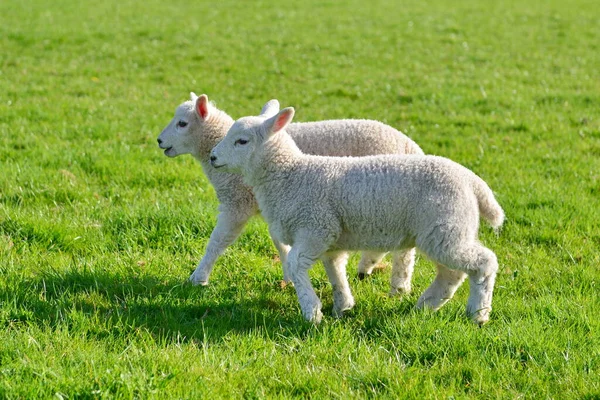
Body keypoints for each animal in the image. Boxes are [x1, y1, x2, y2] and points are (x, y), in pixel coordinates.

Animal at [157, 93, 424, 288]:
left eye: (182, 124)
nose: (159, 141)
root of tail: (410, 145)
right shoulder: (274, 205)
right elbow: (278, 242)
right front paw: (288, 275)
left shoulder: (238, 202)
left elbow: (217, 241)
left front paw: (198, 277)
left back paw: (384, 275)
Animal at [209, 104, 504, 324]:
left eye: (242, 141)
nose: (212, 157)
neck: (291, 175)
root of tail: (472, 182)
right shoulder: (330, 237)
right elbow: (335, 271)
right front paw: (343, 306)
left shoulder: (315, 227)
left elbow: (294, 265)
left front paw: (312, 312)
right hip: (446, 230)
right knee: (451, 274)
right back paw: (426, 306)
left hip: (445, 228)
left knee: (483, 263)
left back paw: (478, 314)